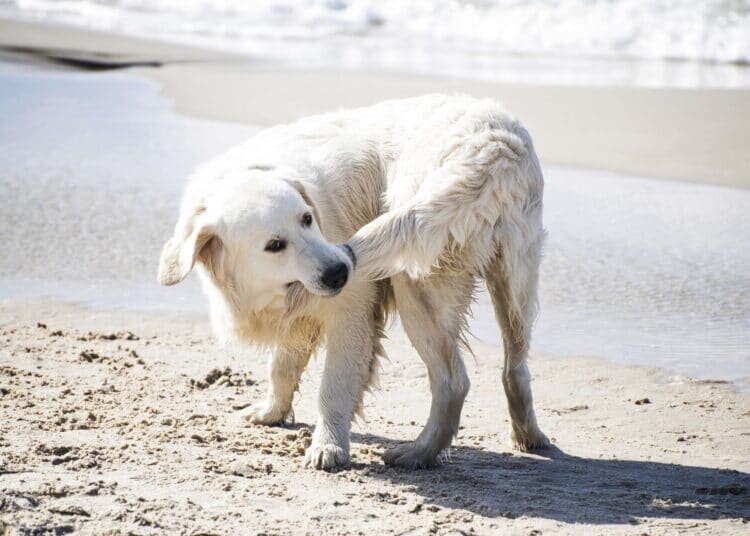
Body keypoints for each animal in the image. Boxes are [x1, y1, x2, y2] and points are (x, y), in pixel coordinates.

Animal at [159, 93, 548, 468]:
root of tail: (493, 147)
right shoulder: (296, 315)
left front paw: (328, 446)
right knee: (515, 367)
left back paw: (418, 453)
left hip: (415, 280)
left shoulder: (352, 309)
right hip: (514, 283)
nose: (340, 271)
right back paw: (529, 436)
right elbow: (281, 366)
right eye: (274, 245)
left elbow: (333, 385)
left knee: (454, 381)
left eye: (307, 218)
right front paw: (272, 412)